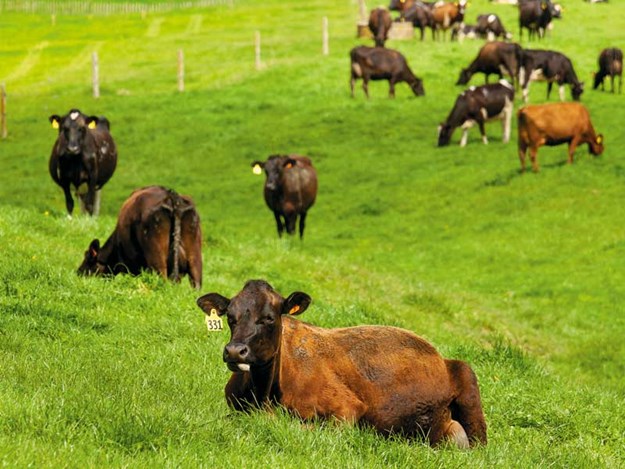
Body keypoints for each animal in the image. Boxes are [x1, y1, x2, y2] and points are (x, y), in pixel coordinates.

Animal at [197, 280, 490, 448]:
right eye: (230, 317)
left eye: (268, 317)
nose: (235, 351)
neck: (264, 395)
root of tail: (438, 354)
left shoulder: (346, 409)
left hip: (467, 380)